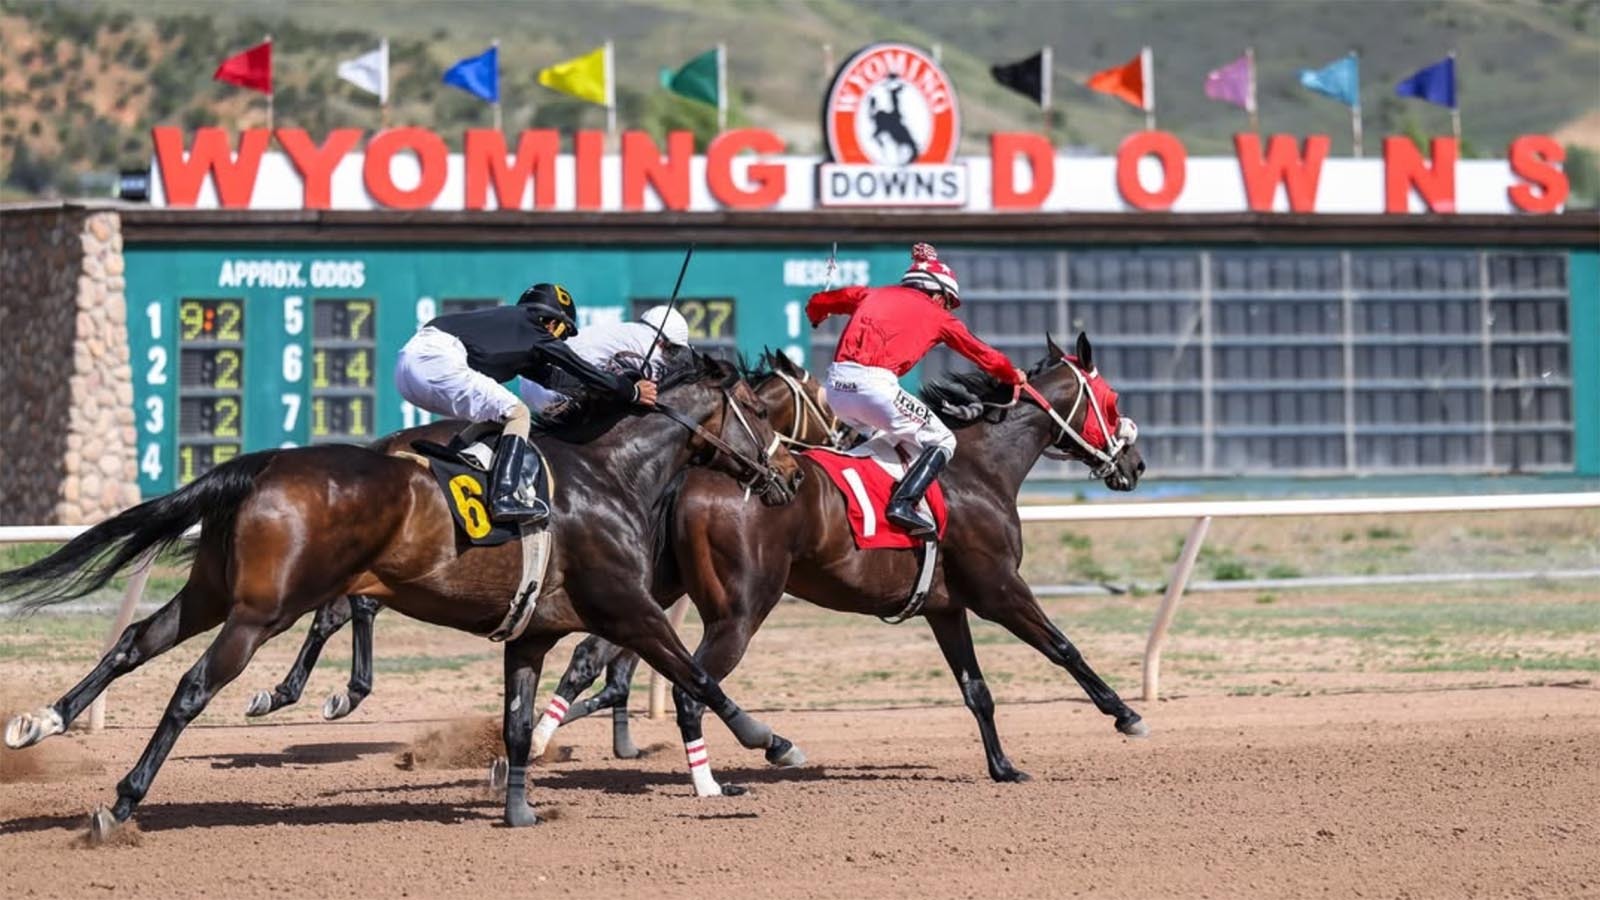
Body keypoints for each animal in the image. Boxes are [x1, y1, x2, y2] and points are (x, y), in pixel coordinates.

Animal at [237, 349, 845, 725]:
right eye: (763, 410)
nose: (795, 474)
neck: (613, 463)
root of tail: (387, 444)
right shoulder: (628, 592)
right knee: (349, 609)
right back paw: (329, 693)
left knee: (338, 611)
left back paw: (298, 693)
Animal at [542, 333, 1149, 794]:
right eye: (1112, 400)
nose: (1136, 464)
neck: (980, 465)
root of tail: (692, 473)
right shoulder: (999, 588)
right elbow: (1064, 647)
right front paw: (1126, 715)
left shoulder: (945, 608)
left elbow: (976, 690)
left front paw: (1003, 767)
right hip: (739, 610)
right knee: (692, 684)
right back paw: (722, 774)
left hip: (655, 589)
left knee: (606, 656)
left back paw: (544, 739)